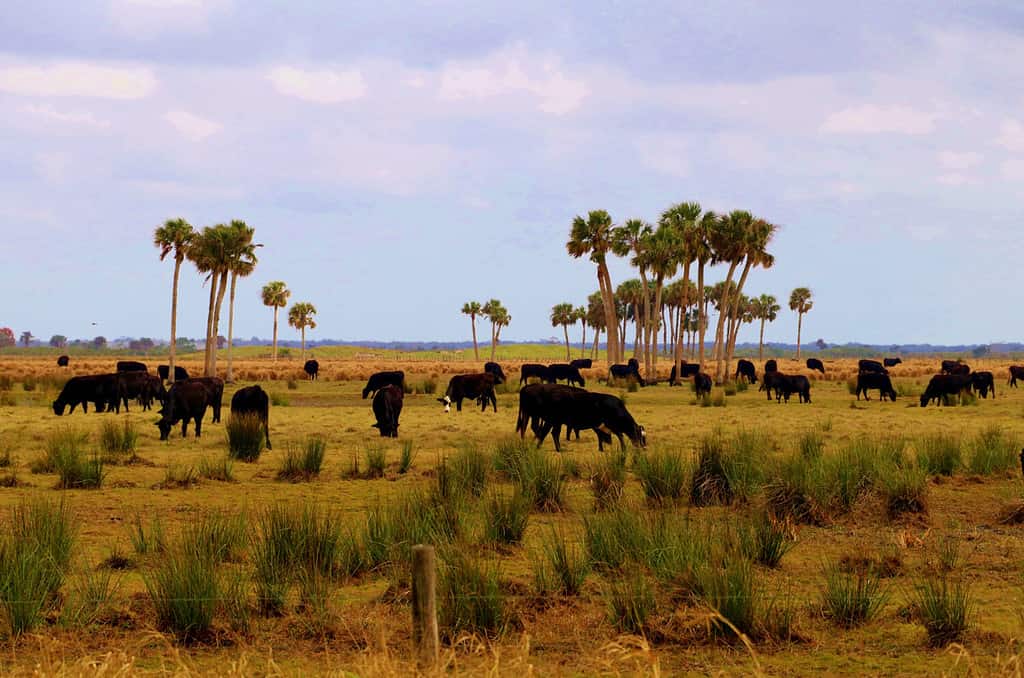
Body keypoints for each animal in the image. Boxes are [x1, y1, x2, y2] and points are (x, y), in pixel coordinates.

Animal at [515, 383, 645, 452]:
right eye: (640, 435)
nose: (643, 447)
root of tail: (527, 387)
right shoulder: (610, 424)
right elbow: (619, 435)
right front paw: (623, 448)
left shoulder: (598, 425)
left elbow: (602, 435)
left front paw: (601, 448)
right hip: (548, 419)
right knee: (545, 432)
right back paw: (547, 447)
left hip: (547, 420)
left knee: (546, 431)